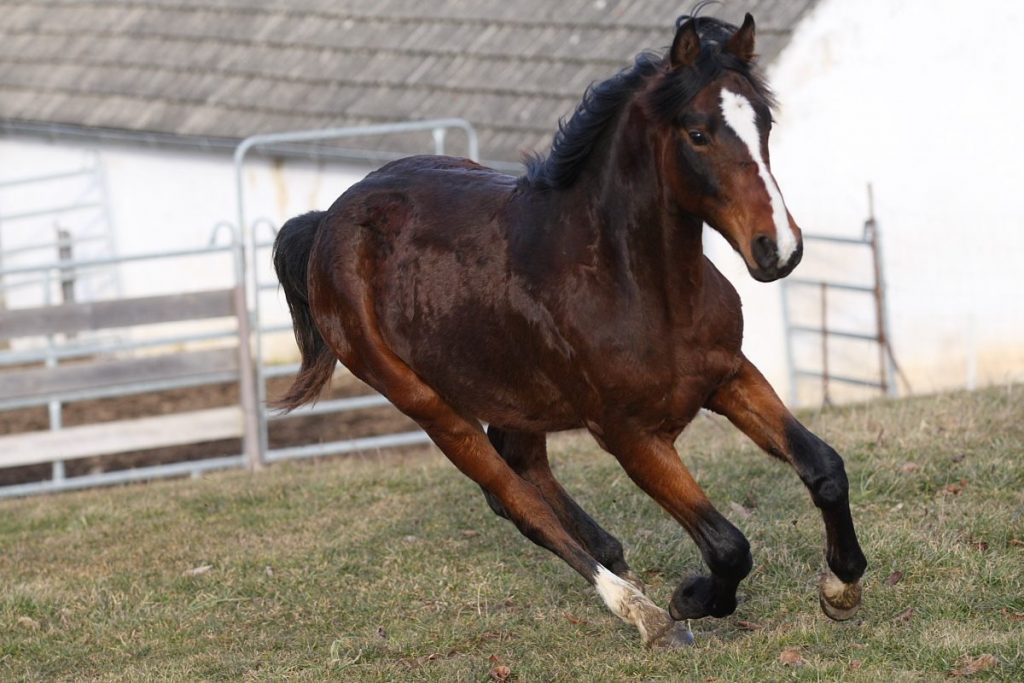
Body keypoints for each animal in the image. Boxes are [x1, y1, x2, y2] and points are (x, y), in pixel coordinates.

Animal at [271, 13, 867, 648]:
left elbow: (824, 467)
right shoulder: (629, 434)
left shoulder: (728, 374)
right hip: (428, 404)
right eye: (698, 134)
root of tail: (326, 222)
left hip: (512, 391)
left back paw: (619, 561)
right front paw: (689, 599)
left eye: (764, 123)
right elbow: (727, 544)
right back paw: (641, 610)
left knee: (523, 466)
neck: (637, 289)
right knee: (516, 502)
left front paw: (842, 587)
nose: (778, 249)